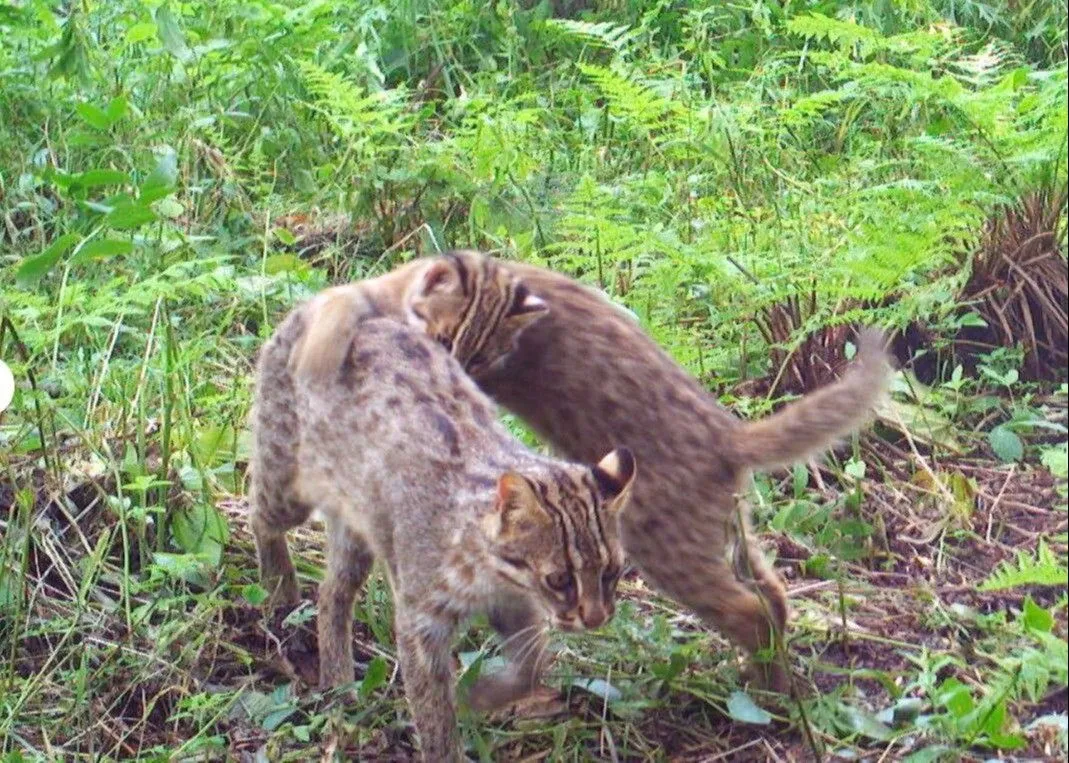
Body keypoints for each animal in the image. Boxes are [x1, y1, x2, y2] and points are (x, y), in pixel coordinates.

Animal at [252, 316, 632, 760]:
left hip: (360, 528)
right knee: (258, 512)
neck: (490, 572)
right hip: (286, 482)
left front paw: (483, 697)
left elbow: (533, 665)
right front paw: (445, 746)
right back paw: (278, 585)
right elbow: (432, 708)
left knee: (332, 594)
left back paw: (338, 680)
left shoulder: (513, 604)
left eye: (613, 571)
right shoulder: (420, 621)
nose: (597, 618)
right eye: (560, 579)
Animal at [478, 258, 893, 692]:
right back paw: (765, 677)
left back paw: (770, 693)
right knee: (774, 595)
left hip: (665, 546)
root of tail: (729, 436)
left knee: (750, 612)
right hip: (730, 530)